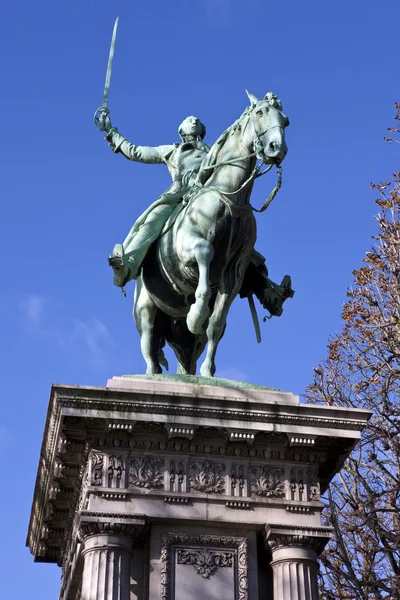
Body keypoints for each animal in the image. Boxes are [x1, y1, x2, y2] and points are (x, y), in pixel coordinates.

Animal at [134, 91, 288, 378]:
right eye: (260, 112)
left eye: (286, 120)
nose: (277, 148)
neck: (231, 196)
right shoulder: (186, 248)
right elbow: (205, 252)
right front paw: (196, 313)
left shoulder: (235, 274)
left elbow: (215, 324)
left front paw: (208, 371)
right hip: (146, 310)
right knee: (148, 344)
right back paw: (151, 374)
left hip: (184, 338)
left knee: (187, 357)